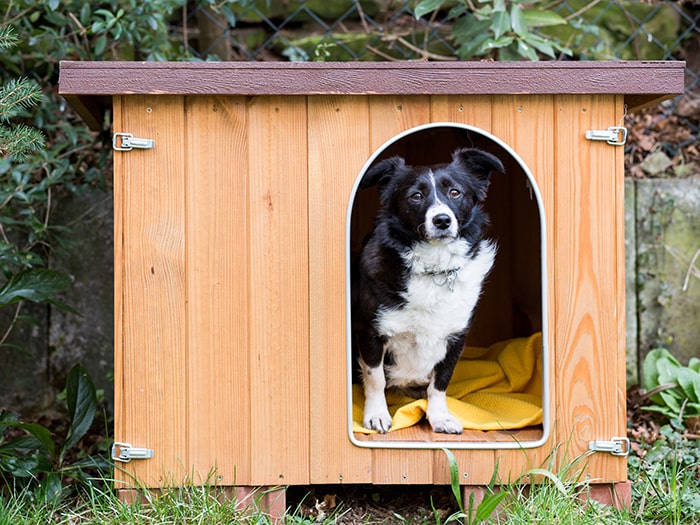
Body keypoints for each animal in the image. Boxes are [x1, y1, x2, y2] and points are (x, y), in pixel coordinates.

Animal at [356, 146, 504, 434]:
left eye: (455, 192)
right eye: (416, 196)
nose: (442, 220)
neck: (434, 267)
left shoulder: (456, 337)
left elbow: (441, 381)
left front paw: (439, 416)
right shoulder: (370, 332)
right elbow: (375, 378)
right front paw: (377, 414)